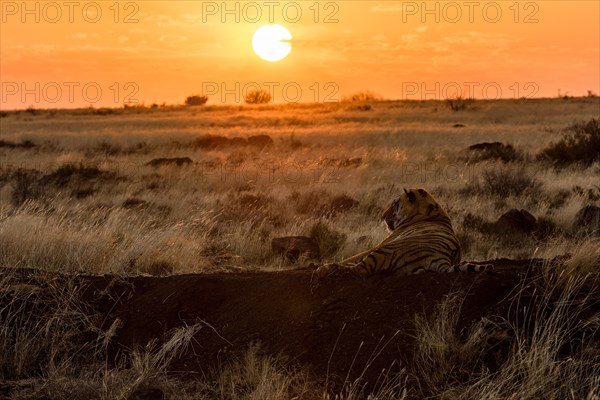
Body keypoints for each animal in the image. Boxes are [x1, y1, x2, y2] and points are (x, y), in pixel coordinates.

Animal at [316, 188, 490, 278]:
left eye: (395, 205)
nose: (382, 216)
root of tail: (442, 259)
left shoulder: (382, 243)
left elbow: (353, 258)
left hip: (385, 250)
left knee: (359, 270)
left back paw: (325, 268)